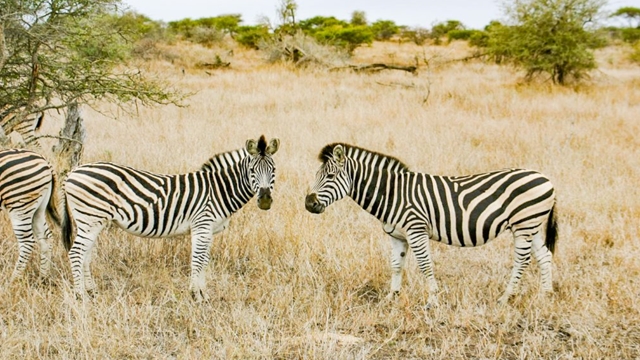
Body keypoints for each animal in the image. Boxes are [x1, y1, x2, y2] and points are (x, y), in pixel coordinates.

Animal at [0, 148, 61, 282]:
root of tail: (44, 160)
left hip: (19, 207)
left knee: (27, 242)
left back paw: (12, 281)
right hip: (38, 208)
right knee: (46, 237)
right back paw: (43, 278)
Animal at [61, 136, 278, 302]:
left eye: (273, 170)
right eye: (252, 171)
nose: (265, 200)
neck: (218, 189)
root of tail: (72, 172)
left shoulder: (209, 231)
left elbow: (205, 260)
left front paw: (203, 294)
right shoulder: (202, 225)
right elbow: (198, 260)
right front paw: (196, 295)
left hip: (93, 222)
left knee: (86, 255)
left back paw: (91, 291)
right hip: (90, 219)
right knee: (76, 253)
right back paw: (80, 296)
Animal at [302, 143, 556, 306]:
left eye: (331, 177)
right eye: (315, 176)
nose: (308, 203)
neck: (392, 193)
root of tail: (545, 178)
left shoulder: (416, 230)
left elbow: (425, 265)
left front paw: (433, 300)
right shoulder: (397, 236)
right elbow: (396, 265)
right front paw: (391, 297)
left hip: (524, 225)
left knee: (522, 260)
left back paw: (506, 298)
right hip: (531, 226)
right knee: (544, 256)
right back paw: (545, 295)